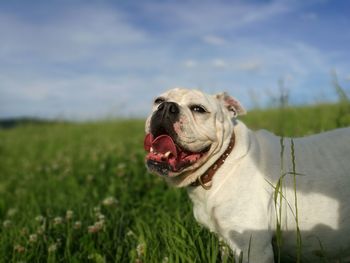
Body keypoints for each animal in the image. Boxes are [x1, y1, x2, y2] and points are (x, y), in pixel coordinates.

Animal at [143, 88, 350, 262]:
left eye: (198, 109)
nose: (166, 107)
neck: (220, 164)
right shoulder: (225, 240)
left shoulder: (255, 248)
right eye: (158, 100)